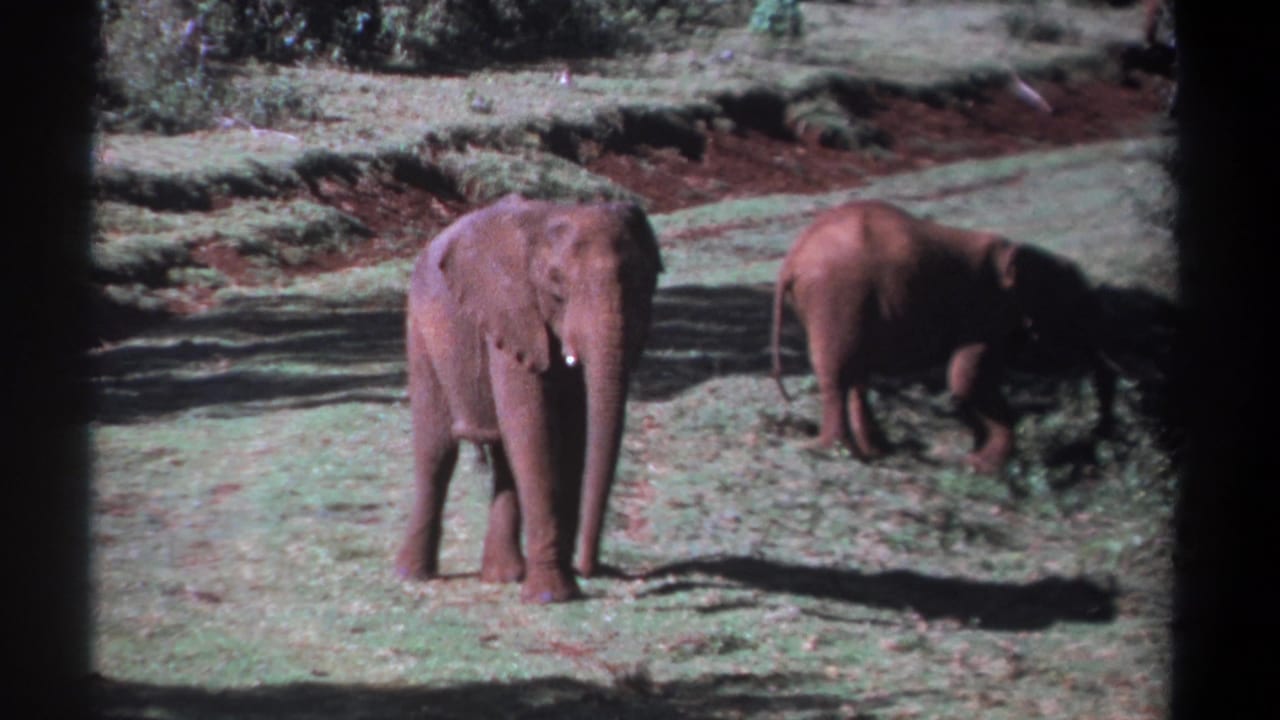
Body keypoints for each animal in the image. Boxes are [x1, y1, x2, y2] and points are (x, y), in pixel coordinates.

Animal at [395, 194, 663, 603]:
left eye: (642, 281)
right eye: (556, 285)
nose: (589, 567)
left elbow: (573, 431)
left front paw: (558, 582)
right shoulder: (511, 312)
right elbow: (535, 428)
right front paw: (553, 596)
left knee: (504, 457)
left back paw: (503, 576)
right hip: (421, 331)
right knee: (436, 451)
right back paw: (412, 575)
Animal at [769, 200, 1115, 474]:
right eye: (1077, 313)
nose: (1099, 441)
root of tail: (792, 260)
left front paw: (976, 459)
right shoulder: (986, 313)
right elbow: (965, 380)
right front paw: (980, 467)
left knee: (854, 374)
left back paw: (877, 451)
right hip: (838, 296)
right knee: (839, 373)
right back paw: (836, 451)